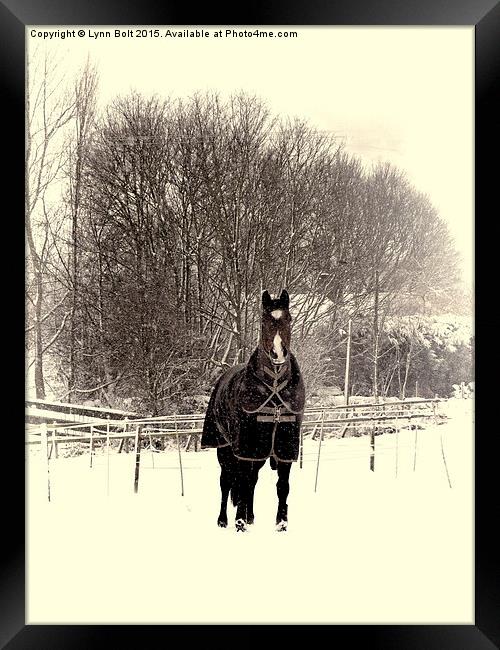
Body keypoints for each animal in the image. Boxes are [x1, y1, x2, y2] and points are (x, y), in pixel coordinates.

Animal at [200, 290, 304, 532]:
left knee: (251, 481)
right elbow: (241, 482)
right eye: (264, 322)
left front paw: (281, 523)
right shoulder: (246, 446)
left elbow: (282, 486)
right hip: (226, 449)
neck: (273, 390)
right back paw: (224, 520)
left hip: (258, 453)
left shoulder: (283, 447)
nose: (278, 354)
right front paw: (239, 523)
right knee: (227, 482)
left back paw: (250, 516)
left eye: (289, 319)